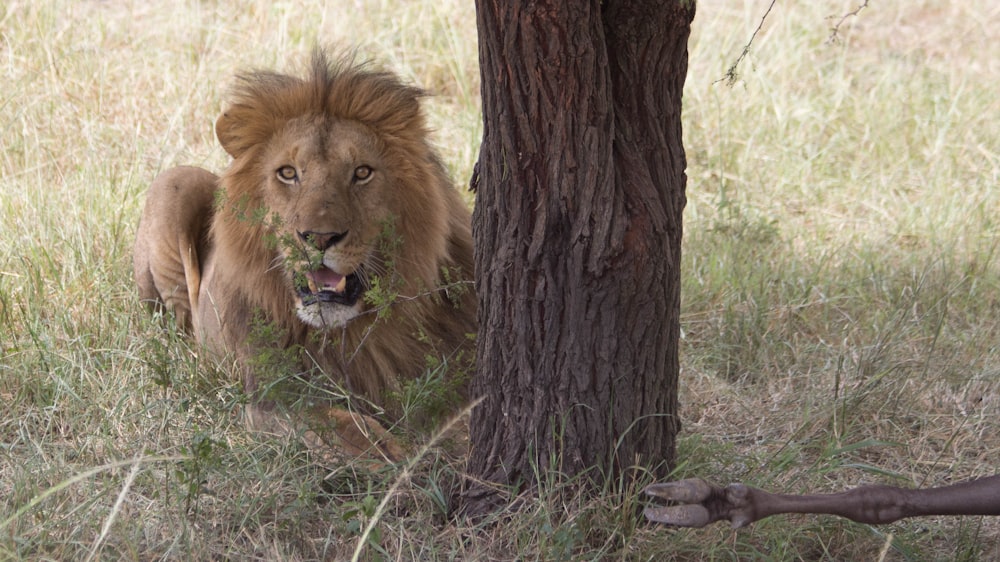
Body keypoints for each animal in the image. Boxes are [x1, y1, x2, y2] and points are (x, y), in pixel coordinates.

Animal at [133, 50, 476, 458]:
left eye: (362, 172)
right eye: (287, 173)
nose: (320, 237)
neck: (351, 331)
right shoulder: (271, 400)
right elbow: (354, 433)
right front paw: (403, 462)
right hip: (173, 183)